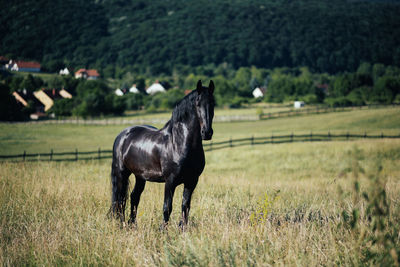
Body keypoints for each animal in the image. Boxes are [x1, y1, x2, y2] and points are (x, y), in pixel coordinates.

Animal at [109, 80, 216, 229]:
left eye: (213, 103)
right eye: (197, 103)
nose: (207, 132)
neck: (178, 143)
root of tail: (123, 135)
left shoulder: (192, 181)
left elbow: (185, 206)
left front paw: (183, 229)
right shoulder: (170, 181)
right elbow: (167, 207)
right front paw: (163, 230)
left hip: (140, 177)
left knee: (134, 197)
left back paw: (132, 225)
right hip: (121, 174)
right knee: (120, 200)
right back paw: (122, 225)